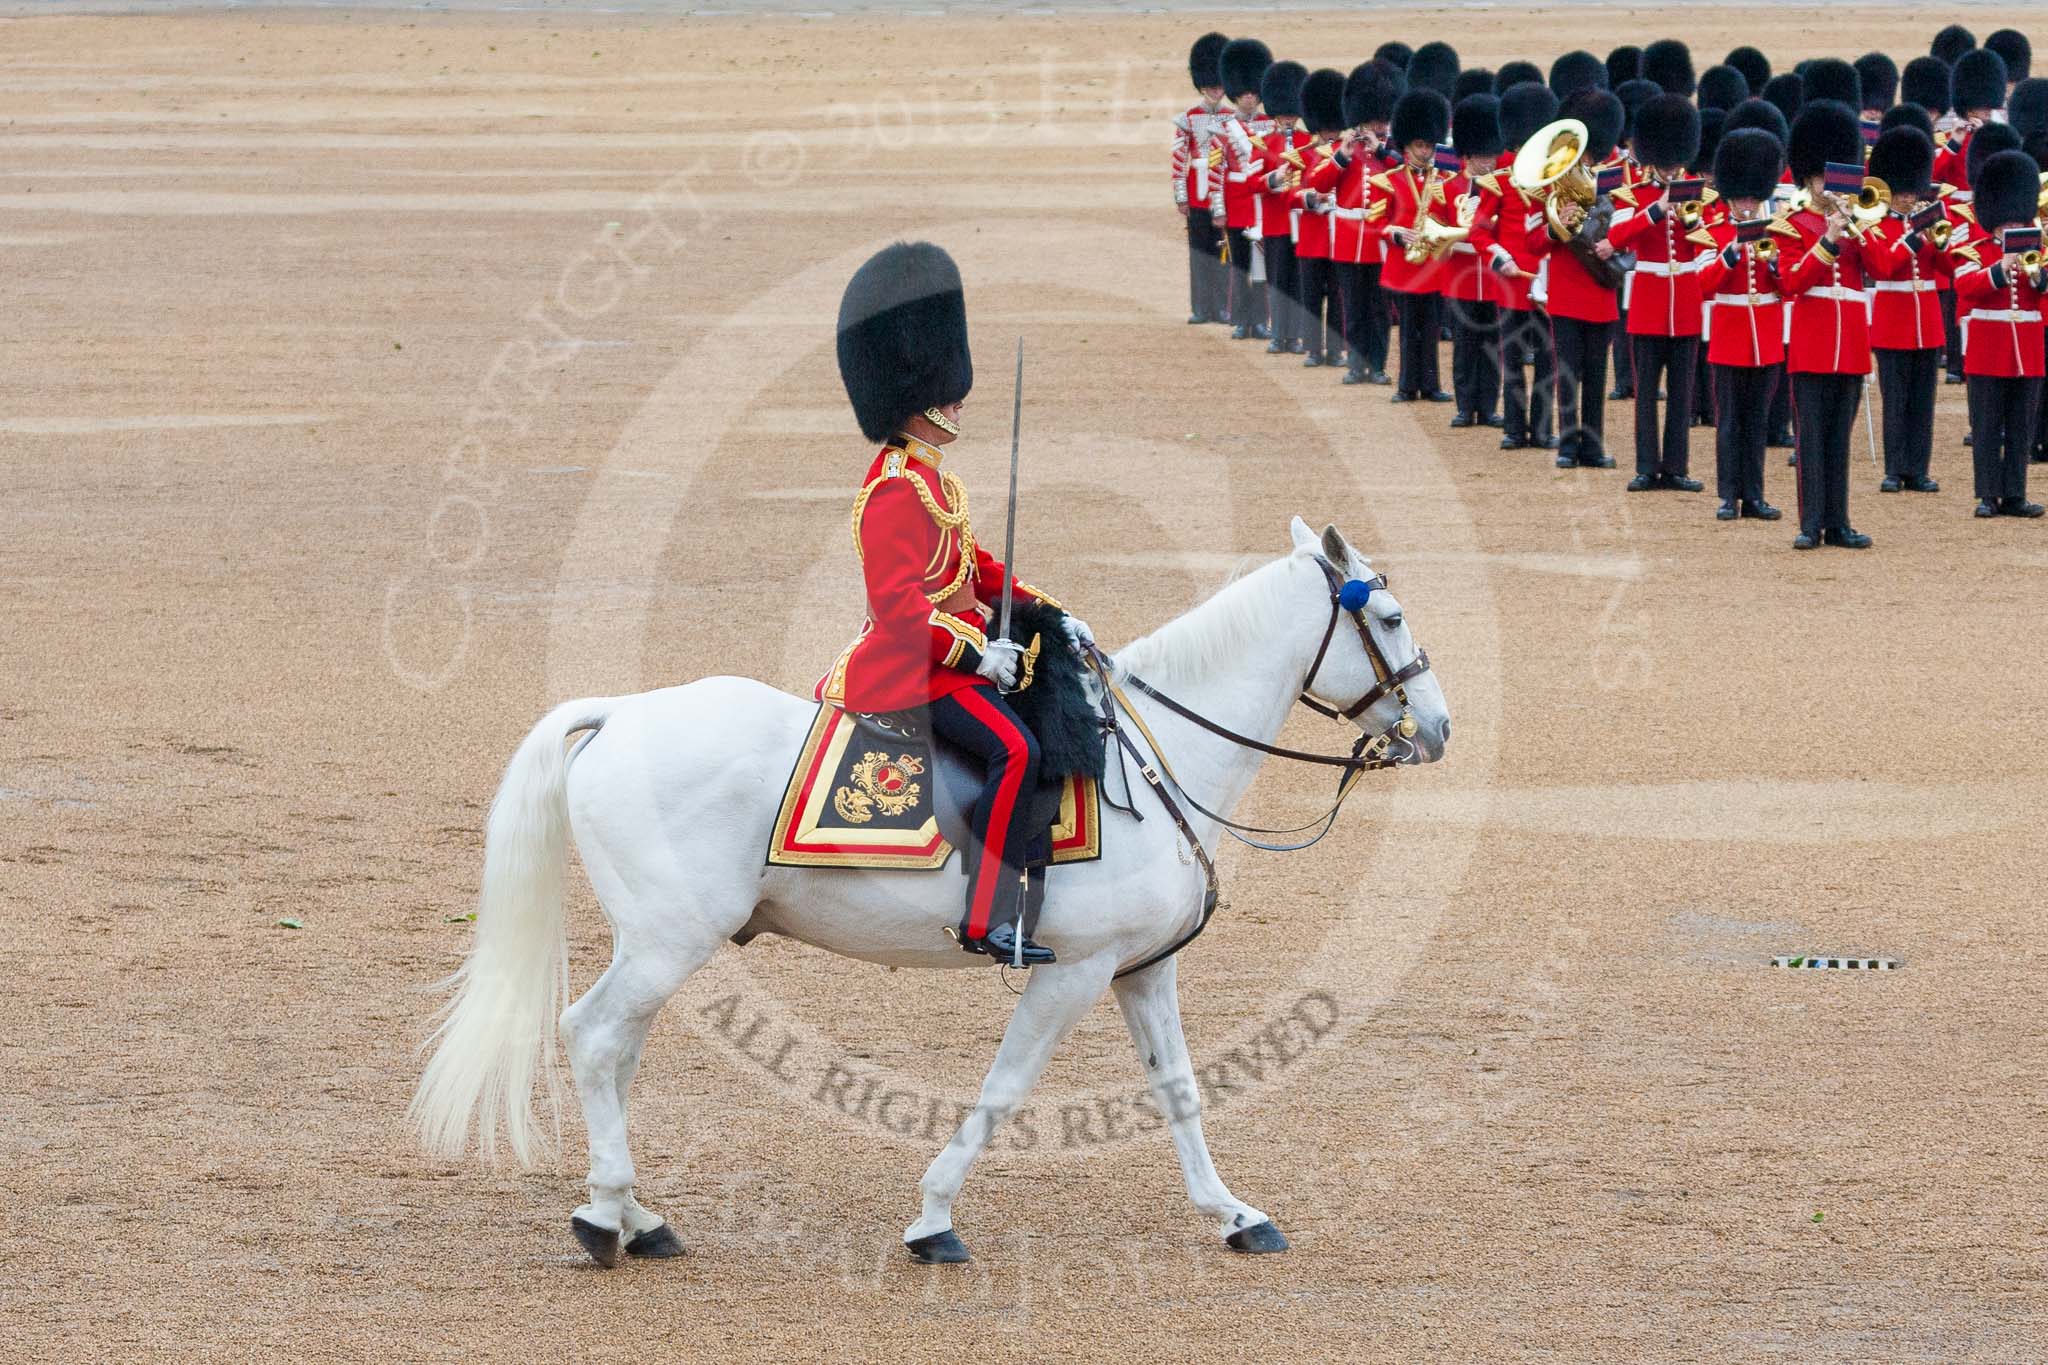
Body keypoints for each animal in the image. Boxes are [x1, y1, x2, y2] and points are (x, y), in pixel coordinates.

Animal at [407, 517, 1449, 1268]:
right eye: (1393, 618)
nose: (1438, 728)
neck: (1158, 762)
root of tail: (620, 712)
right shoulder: (1071, 972)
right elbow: (1005, 1088)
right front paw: (934, 1217)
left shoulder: (1139, 970)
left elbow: (1181, 1089)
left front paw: (1232, 1214)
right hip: (669, 941)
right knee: (590, 1037)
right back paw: (606, 1220)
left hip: (658, 944)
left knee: (617, 1051)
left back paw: (633, 1214)